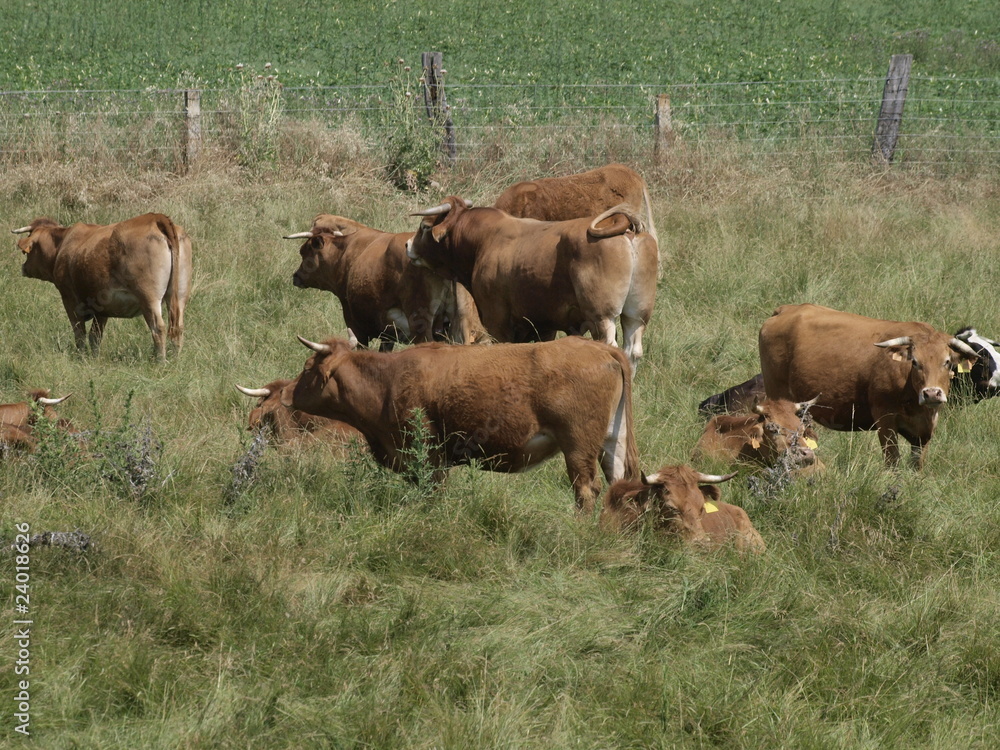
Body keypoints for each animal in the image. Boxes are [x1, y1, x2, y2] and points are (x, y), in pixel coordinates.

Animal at [13, 213, 191, 359]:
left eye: (27, 252)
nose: (23, 267)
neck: (63, 244)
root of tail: (155, 218)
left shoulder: (69, 298)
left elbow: (80, 332)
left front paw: (81, 357)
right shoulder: (103, 306)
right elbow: (95, 336)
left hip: (149, 298)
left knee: (158, 328)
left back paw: (159, 361)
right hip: (179, 296)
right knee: (178, 327)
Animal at [285, 215, 483, 349]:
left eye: (304, 251)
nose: (296, 276)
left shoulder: (356, 326)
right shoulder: (388, 335)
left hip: (422, 326)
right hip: (461, 324)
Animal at [288, 335, 640, 514]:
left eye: (306, 368)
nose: (290, 395)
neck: (386, 381)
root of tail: (602, 347)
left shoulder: (429, 454)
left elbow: (434, 492)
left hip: (578, 446)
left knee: (586, 490)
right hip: (613, 441)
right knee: (620, 483)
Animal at [406, 197, 658, 369]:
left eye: (425, 227)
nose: (408, 245)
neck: (483, 240)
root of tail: (624, 224)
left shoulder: (497, 320)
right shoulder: (543, 325)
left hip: (602, 317)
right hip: (636, 316)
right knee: (632, 351)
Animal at [759, 303, 979, 467]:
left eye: (947, 362)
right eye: (915, 362)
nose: (932, 393)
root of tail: (786, 310)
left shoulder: (924, 430)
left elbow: (917, 464)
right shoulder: (885, 420)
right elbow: (892, 461)